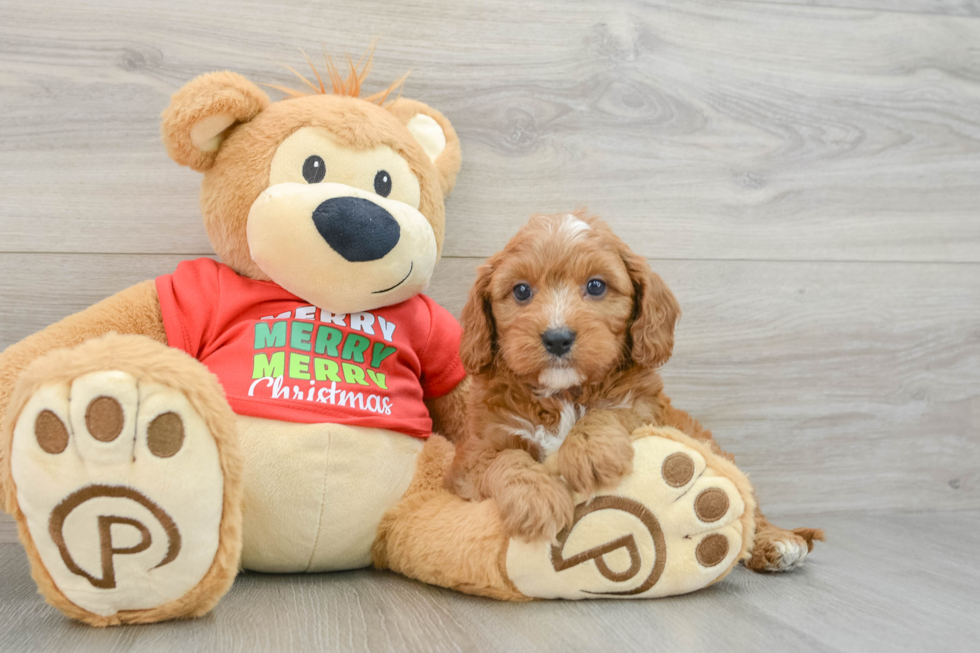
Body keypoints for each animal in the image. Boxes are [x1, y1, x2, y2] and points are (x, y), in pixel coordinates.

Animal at [448, 213, 824, 572]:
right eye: (522, 291)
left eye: (596, 285)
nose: (557, 338)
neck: (565, 394)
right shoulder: (473, 453)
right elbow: (503, 460)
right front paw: (535, 499)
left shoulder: (646, 410)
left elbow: (611, 411)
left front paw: (590, 452)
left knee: (749, 508)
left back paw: (777, 542)